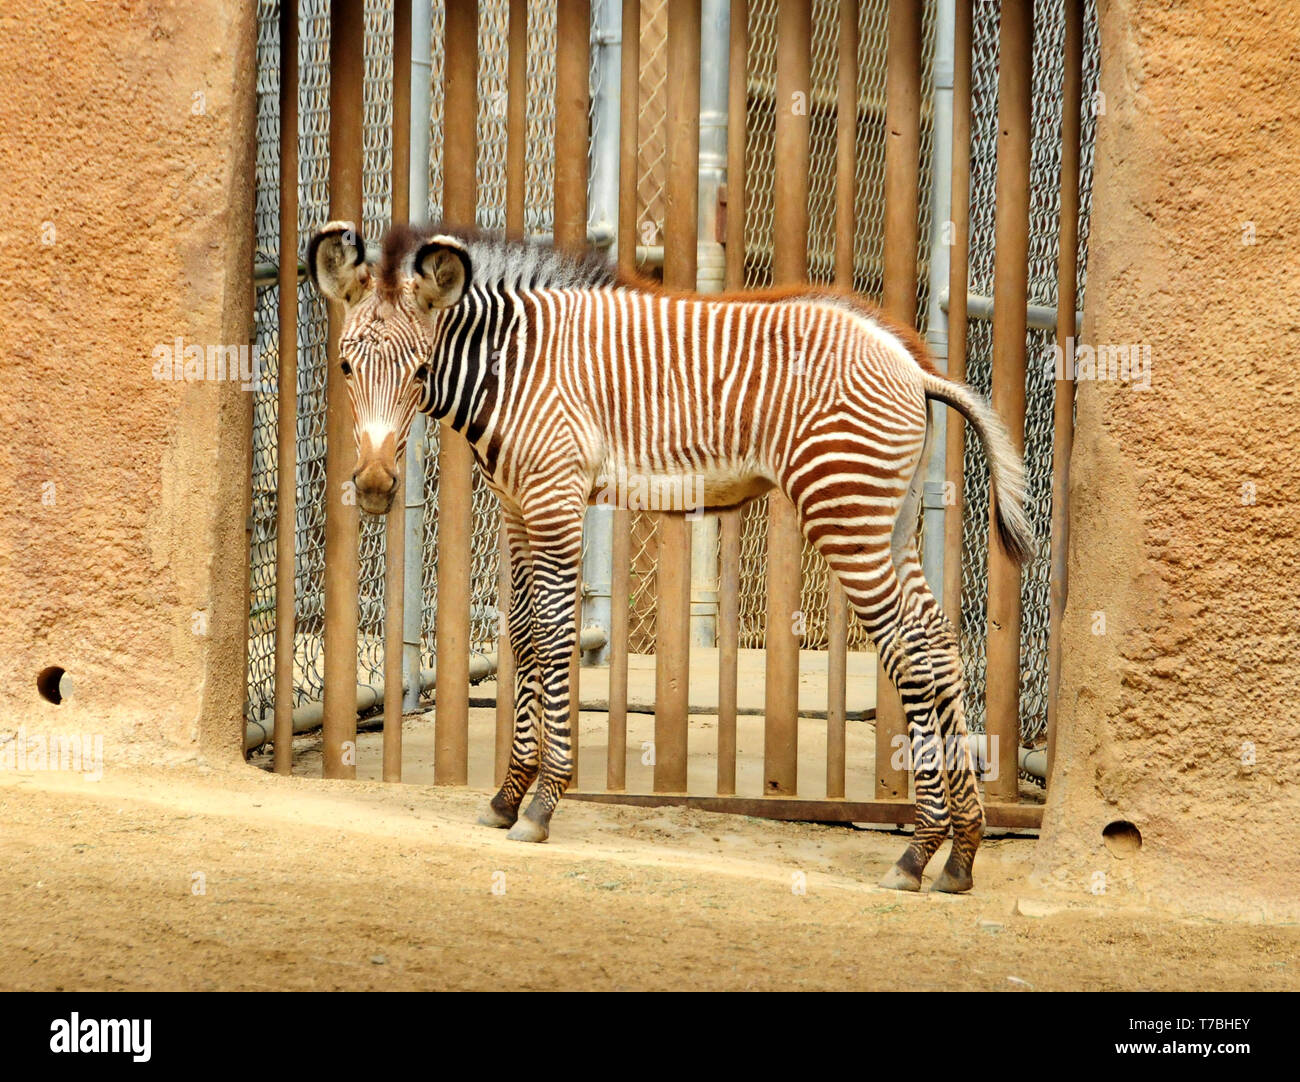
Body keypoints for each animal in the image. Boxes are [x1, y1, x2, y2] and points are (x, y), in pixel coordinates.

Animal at [309, 215, 1029, 889]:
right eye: (344, 366)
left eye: (419, 371)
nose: (373, 487)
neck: (514, 366)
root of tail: (912, 364)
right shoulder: (515, 505)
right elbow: (521, 635)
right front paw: (507, 796)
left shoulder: (553, 494)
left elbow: (553, 630)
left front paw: (541, 805)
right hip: (891, 520)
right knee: (937, 645)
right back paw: (962, 853)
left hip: (844, 510)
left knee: (909, 655)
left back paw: (916, 852)